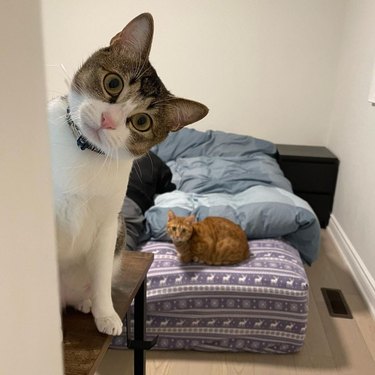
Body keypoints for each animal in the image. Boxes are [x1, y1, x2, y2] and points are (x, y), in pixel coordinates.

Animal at [48, 13, 209, 336]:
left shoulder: (108, 224)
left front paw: (106, 315)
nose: (108, 121)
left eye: (142, 122)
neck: (84, 150)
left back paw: (85, 301)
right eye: (113, 83)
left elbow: (100, 274)